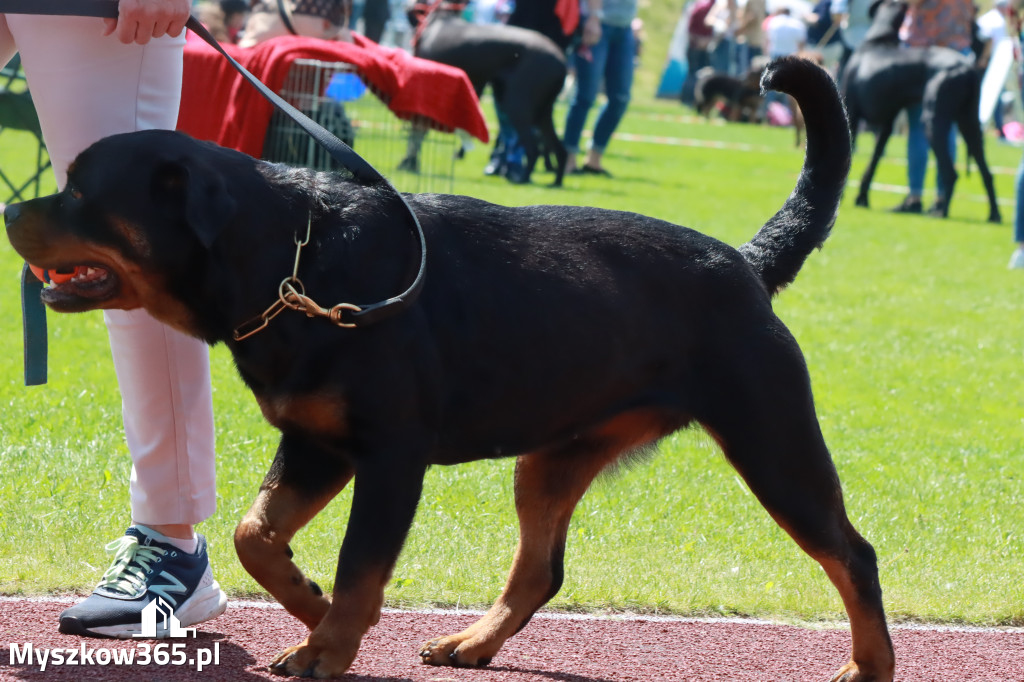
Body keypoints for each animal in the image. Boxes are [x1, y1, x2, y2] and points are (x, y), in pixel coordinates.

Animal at [4, 58, 892, 679]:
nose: (11, 208)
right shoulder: (316, 441)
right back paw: (472, 642)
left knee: (853, 554)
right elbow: (255, 532)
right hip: (555, 456)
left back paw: (870, 665)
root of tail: (743, 263)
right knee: (540, 570)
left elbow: (360, 566)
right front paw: (306, 602)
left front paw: (325, 648)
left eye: (80, 192)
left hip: (773, 441)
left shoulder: (391, 456)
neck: (295, 265)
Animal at [839, 0, 999, 220]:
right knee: (987, 173)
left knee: (950, 172)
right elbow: (873, 163)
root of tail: (967, 68)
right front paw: (862, 198)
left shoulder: (853, 117)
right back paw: (994, 215)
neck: (879, 36)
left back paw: (940, 211)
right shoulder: (886, 127)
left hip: (933, 121)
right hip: (970, 124)